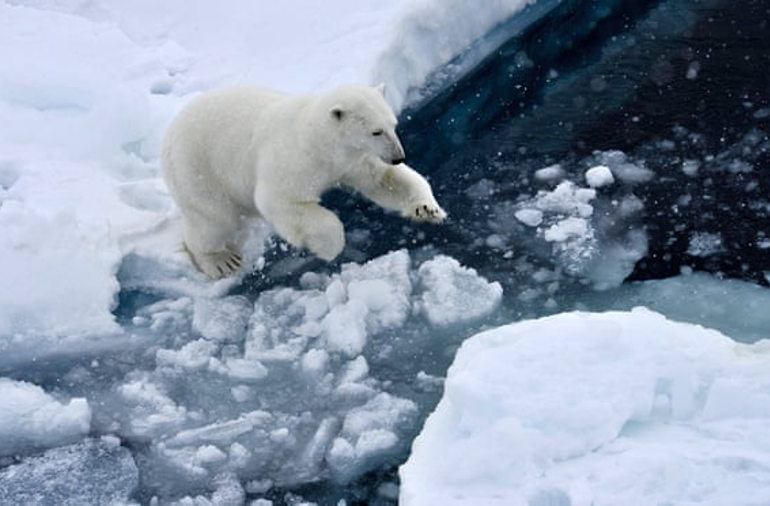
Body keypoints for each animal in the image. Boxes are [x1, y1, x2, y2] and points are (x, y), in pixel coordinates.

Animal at [162, 84, 446, 279]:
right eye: (376, 131)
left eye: (393, 124)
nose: (399, 156)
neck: (319, 142)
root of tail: (169, 133)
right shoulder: (295, 160)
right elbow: (280, 201)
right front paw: (329, 248)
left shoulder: (353, 161)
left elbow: (382, 180)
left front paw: (427, 209)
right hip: (197, 169)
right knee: (213, 219)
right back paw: (220, 260)